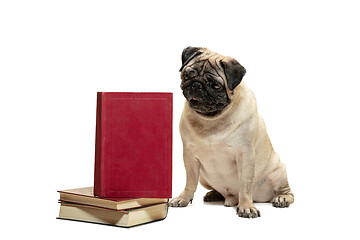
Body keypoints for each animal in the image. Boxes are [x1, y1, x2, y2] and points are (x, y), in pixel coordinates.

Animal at [170, 46, 294, 218]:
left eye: (215, 85)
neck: (212, 120)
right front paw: (183, 198)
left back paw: (281, 198)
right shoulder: (189, 156)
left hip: (279, 172)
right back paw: (214, 194)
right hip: (203, 177)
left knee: (287, 192)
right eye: (187, 75)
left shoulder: (245, 156)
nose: (196, 85)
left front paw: (246, 207)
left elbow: (245, 186)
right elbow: (190, 182)